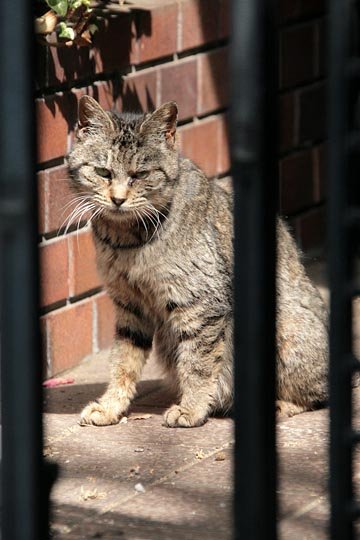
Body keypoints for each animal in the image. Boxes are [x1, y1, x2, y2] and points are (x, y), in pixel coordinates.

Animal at [66, 96, 328, 426]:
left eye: (141, 175)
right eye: (103, 172)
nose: (118, 199)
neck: (127, 240)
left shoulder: (201, 305)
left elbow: (198, 362)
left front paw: (191, 408)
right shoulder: (129, 306)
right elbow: (122, 362)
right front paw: (111, 406)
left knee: (316, 394)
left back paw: (278, 405)